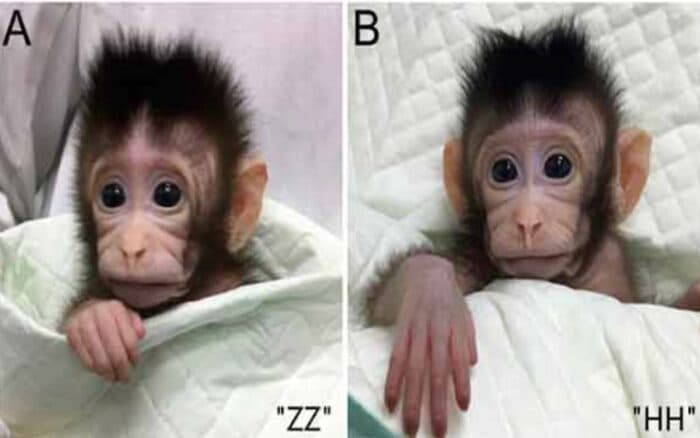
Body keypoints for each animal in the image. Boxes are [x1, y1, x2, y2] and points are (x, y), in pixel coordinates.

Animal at [368, 19, 699, 437]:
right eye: (503, 171)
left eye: (558, 166)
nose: (526, 218)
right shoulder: (476, 257)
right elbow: (378, 309)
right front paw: (432, 299)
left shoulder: (612, 265)